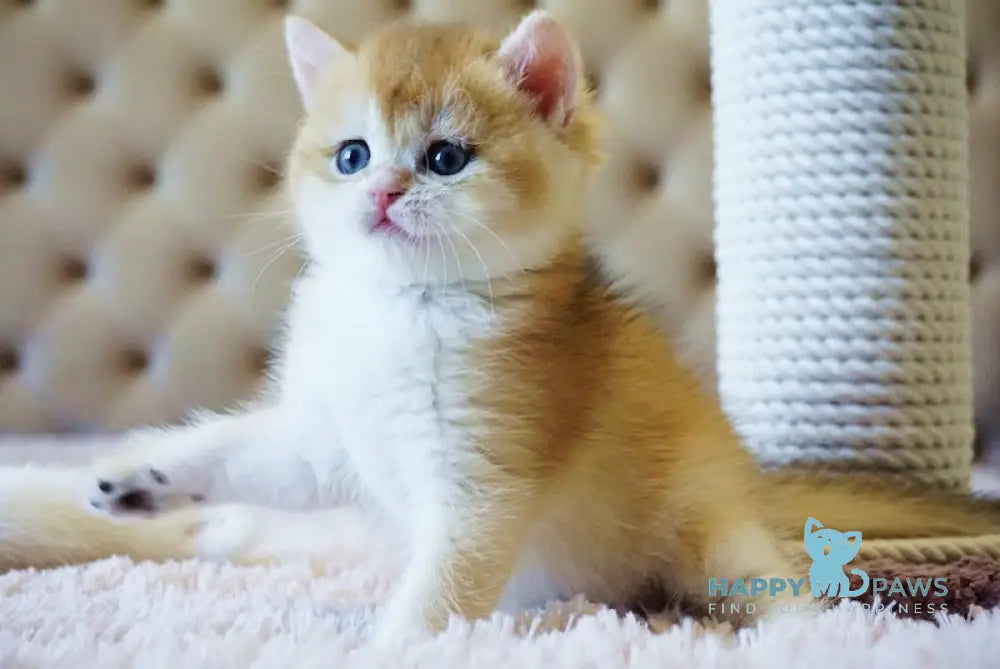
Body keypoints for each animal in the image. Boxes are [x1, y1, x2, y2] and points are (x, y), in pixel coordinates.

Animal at [0, 11, 996, 648]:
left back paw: (818, 636)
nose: (383, 191)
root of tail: (751, 477)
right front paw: (138, 476)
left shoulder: (485, 479)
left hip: (715, 528)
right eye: (353, 153)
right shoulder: (326, 437)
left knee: (776, 582)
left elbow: (435, 594)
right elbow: (244, 454)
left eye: (446, 157)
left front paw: (382, 649)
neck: (399, 309)